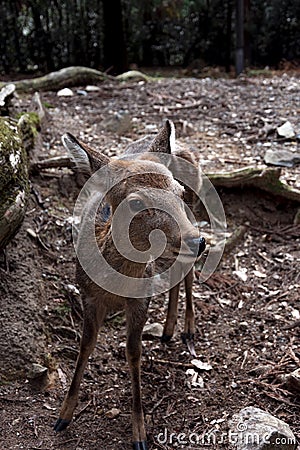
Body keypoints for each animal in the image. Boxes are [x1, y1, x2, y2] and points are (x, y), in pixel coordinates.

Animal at [54, 120, 205, 450]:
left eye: (178, 191)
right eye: (135, 201)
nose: (198, 241)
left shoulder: (139, 301)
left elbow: (133, 351)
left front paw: (140, 434)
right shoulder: (87, 295)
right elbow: (85, 345)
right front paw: (62, 417)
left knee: (187, 272)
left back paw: (187, 328)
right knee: (176, 270)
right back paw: (168, 329)